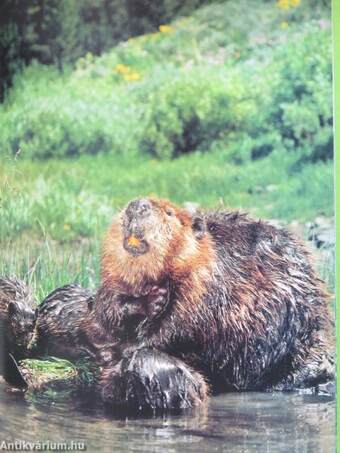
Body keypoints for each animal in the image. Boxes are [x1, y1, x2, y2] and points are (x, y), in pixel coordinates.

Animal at [83, 196, 334, 404]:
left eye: (169, 212)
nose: (137, 205)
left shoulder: (207, 282)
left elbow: (184, 323)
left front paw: (134, 344)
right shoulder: (113, 280)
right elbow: (107, 308)